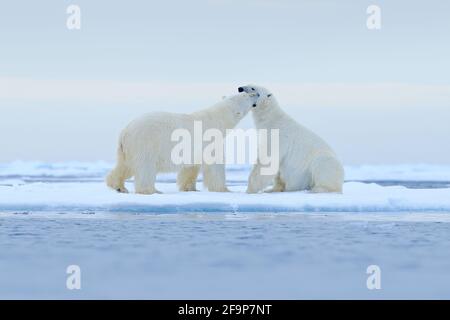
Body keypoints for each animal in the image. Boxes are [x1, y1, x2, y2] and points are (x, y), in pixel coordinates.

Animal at [106, 91, 258, 194]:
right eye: (246, 96)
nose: (255, 93)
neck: (218, 120)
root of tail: (125, 131)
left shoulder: (194, 149)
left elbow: (191, 167)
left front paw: (189, 188)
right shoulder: (209, 140)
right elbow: (215, 165)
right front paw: (224, 189)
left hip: (127, 148)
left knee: (125, 166)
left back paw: (118, 186)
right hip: (146, 143)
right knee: (145, 168)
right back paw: (151, 190)